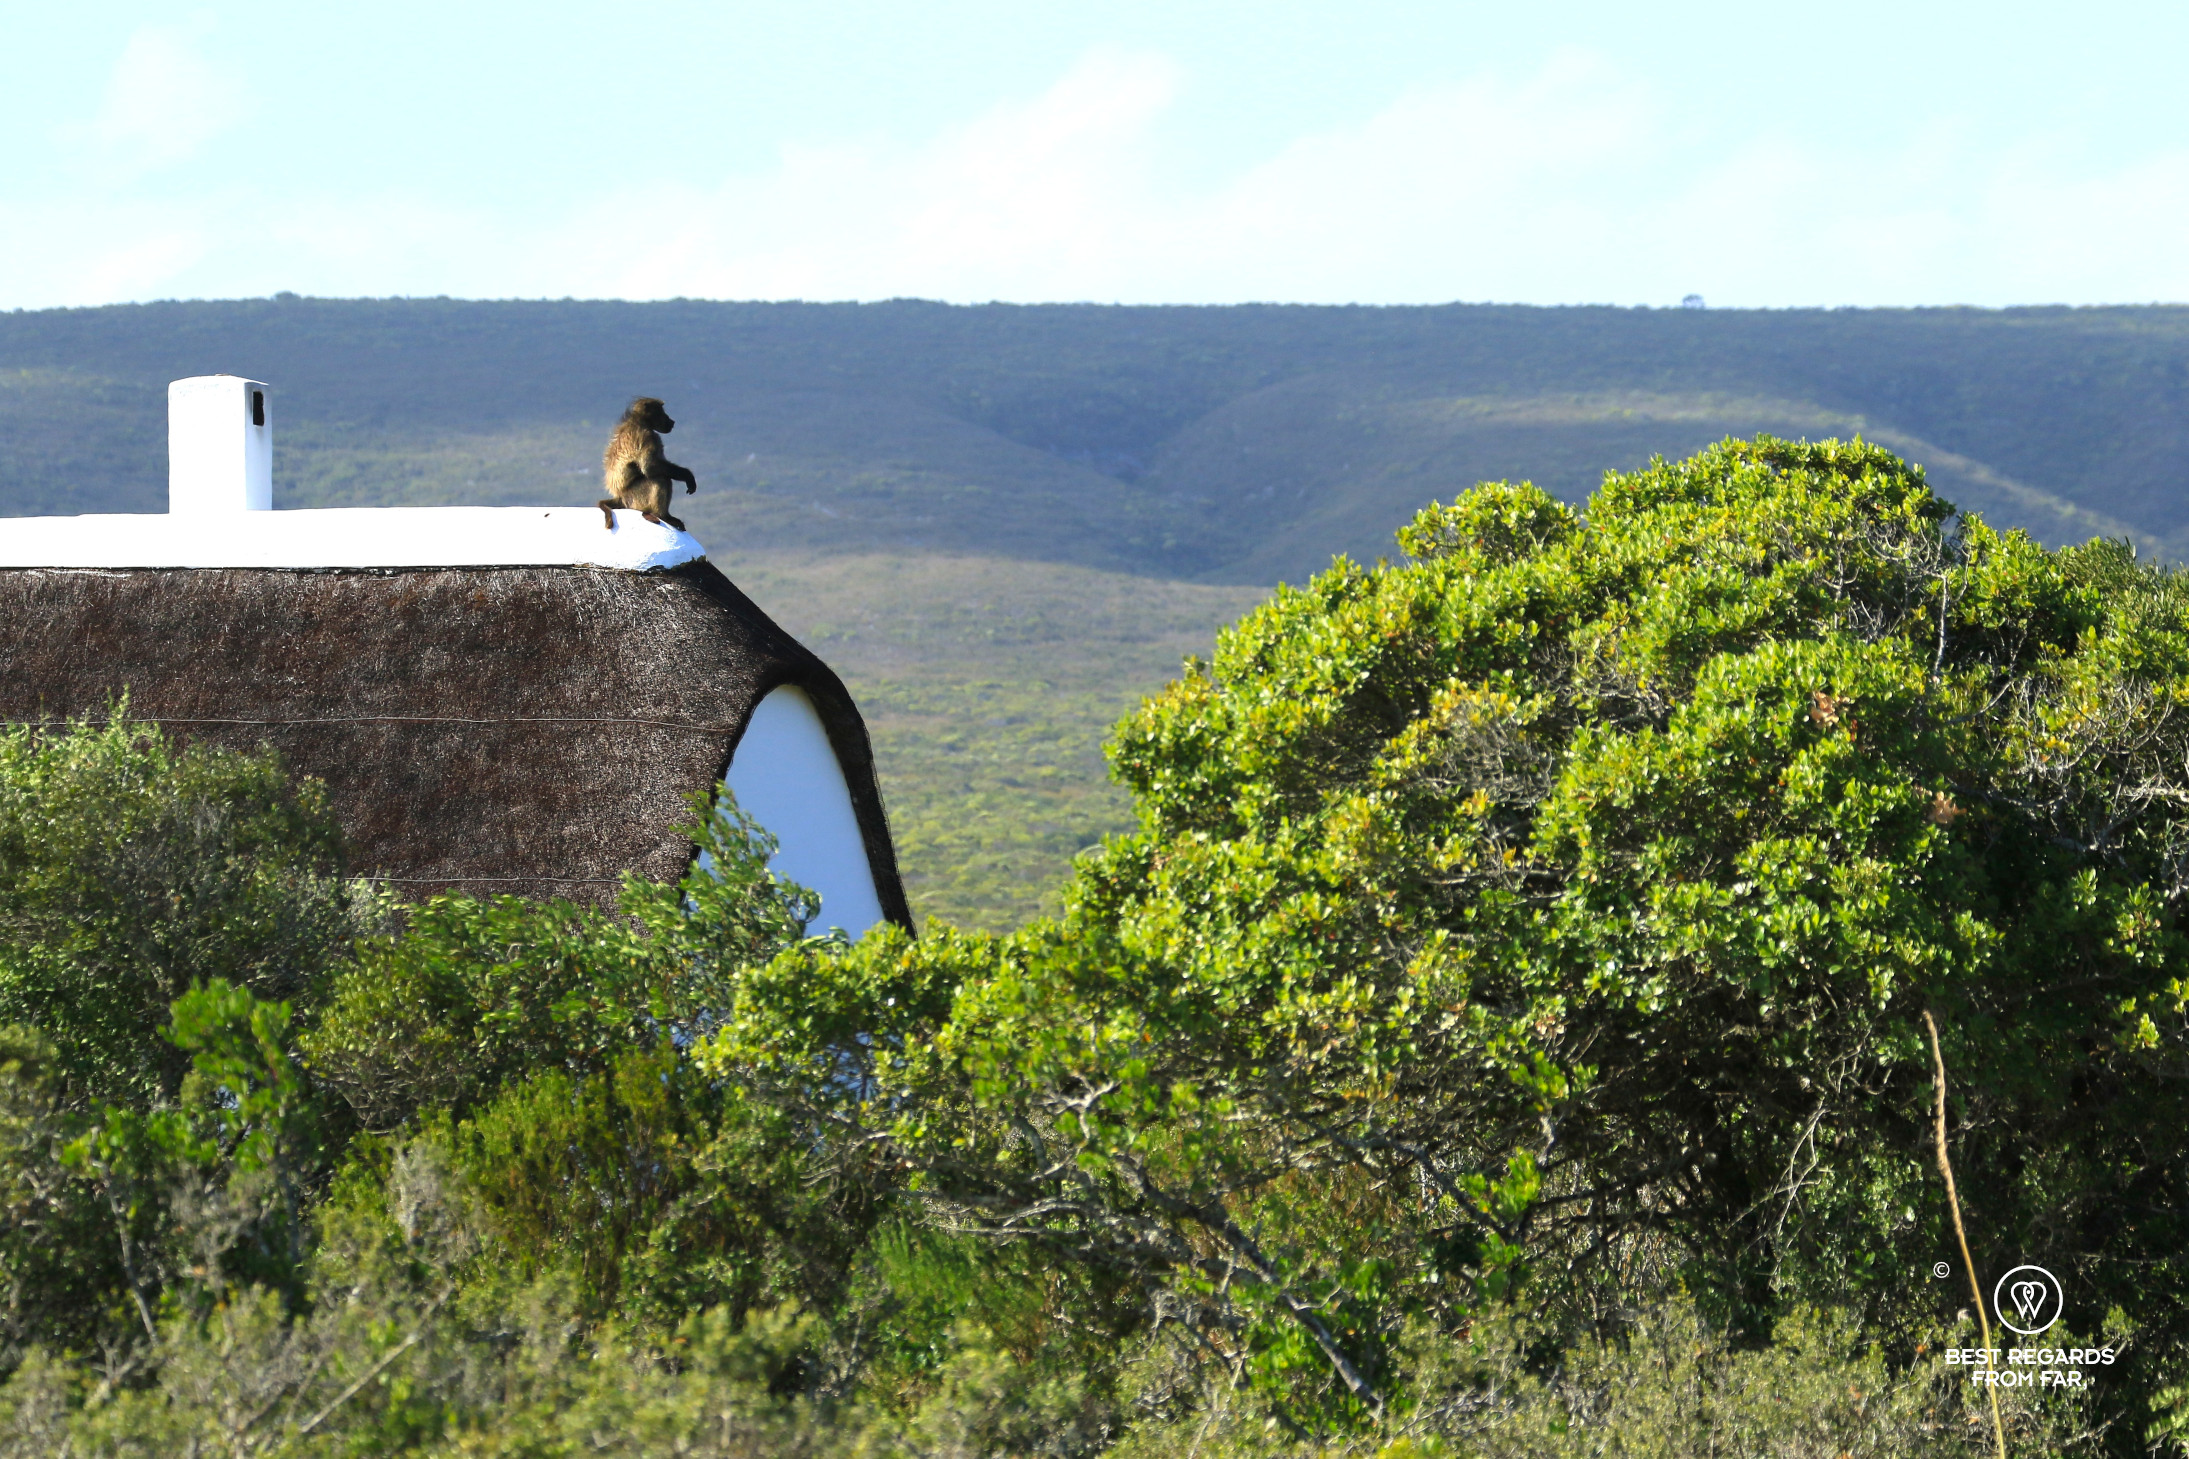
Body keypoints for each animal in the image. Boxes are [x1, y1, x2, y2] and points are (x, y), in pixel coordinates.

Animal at [599, 397, 698, 531]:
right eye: (662, 412)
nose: (672, 421)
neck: (638, 422)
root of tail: (620, 498)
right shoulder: (646, 436)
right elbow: (650, 467)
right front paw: (688, 476)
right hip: (635, 498)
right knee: (661, 478)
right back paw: (662, 516)